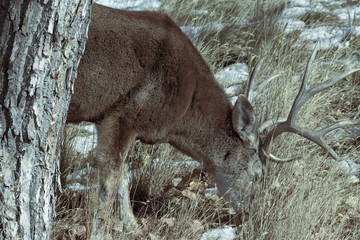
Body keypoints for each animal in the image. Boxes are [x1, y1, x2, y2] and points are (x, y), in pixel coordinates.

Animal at [66, 2, 358, 237]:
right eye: (258, 174)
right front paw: (99, 232)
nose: (256, 213)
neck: (180, 113)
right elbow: (110, 178)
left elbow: (123, 176)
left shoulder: (109, 119)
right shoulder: (123, 113)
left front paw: (133, 227)